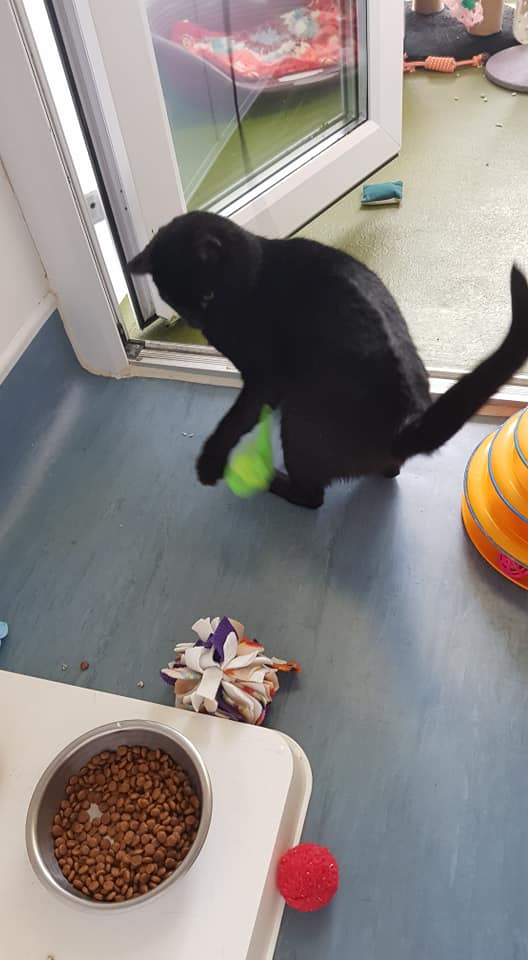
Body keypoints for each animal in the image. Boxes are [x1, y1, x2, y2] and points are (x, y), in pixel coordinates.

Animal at [130, 212, 528, 510]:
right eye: (173, 300)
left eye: (207, 295)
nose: (196, 321)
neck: (254, 274)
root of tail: (402, 424)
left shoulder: (264, 378)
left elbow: (237, 417)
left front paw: (210, 461)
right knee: (390, 471)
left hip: (298, 423)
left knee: (312, 497)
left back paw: (271, 480)